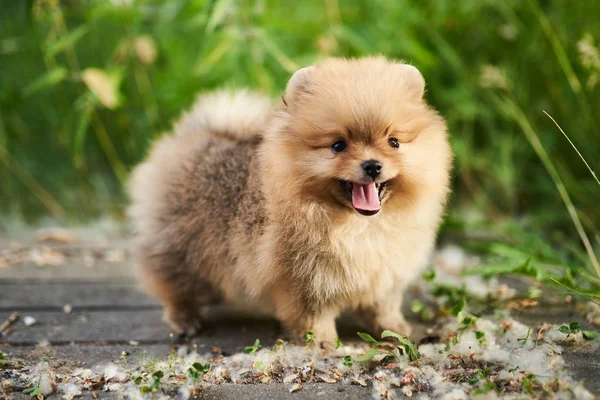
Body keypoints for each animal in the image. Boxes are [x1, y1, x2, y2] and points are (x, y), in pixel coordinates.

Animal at [129, 56, 452, 346]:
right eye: (338, 145)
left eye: (393, 142)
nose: (372, 165)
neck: (358, 226)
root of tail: (197, 133)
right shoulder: (304, 279)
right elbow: (313, 316)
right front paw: (322, 342)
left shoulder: (385, 273)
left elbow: (383, 307)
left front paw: (395, 329)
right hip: (180, 244)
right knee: (171, 282)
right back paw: (184, 319)